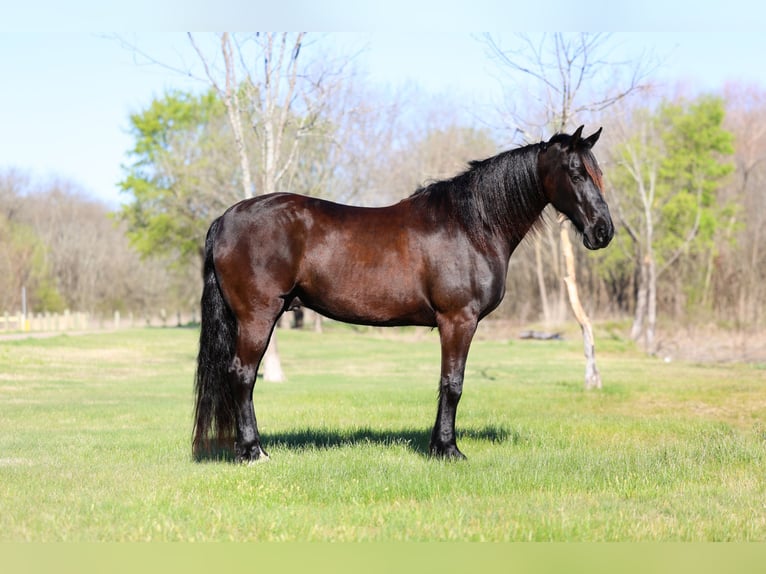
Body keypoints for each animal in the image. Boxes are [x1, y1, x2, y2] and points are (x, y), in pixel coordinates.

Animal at [192, 125, 613, 462]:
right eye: (576, 172)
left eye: (598, 173)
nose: (603, 231)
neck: (472, 226)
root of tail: (226, 218)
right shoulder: (458, 320)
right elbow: (453, 384)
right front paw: (448, 450)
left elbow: (446, 383)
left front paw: (437, 445)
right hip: (258, 317)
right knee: (243, 375)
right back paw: (253, 452)